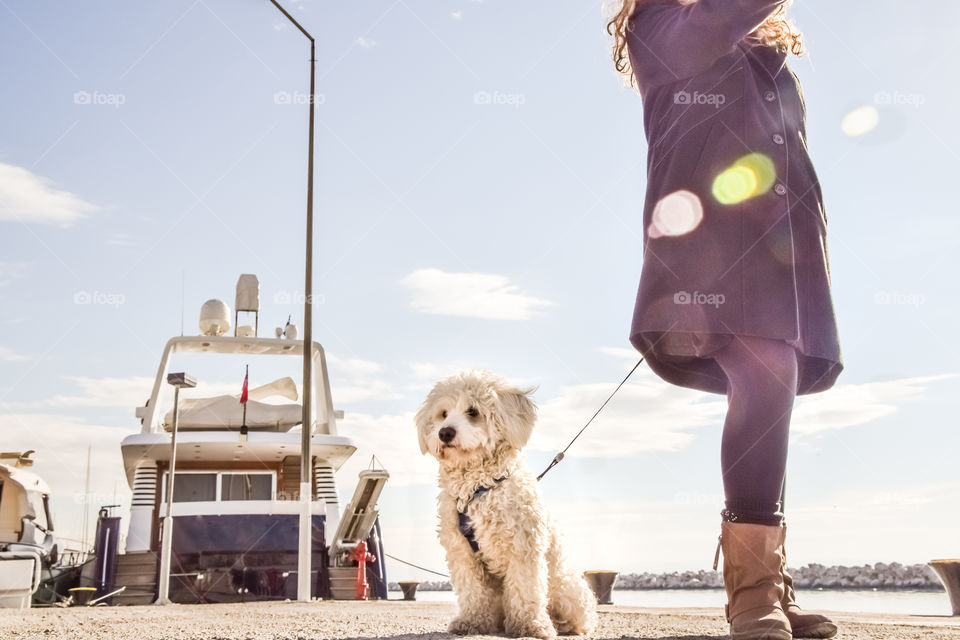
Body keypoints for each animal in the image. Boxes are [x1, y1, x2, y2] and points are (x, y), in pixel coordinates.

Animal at [414, 368, 596, 636]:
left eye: (473, 412)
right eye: (443, 414)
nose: (444, 432)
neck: (478, 488)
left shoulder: (523, 547)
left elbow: (525, 589)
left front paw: (530, 626)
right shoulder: (462, 552)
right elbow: (473, 591)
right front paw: (473, 621)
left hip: (568, 589)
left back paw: (560, 623)